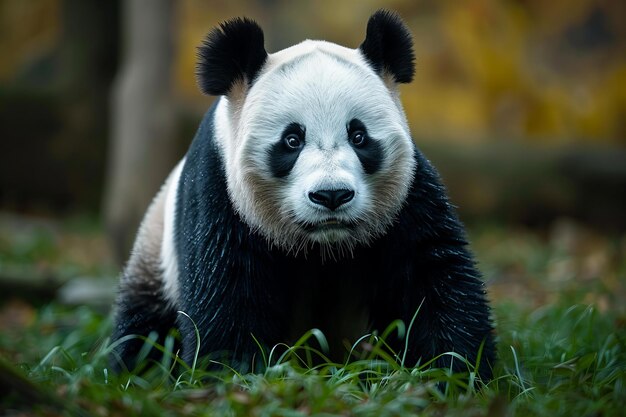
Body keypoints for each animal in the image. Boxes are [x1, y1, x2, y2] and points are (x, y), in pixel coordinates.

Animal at [109, 10, 494, 380]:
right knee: (143, 328)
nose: (332, 195)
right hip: (155, 255)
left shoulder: (406, 197)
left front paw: (454, 374)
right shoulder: (221, 196)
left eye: (359, 136)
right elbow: (228, 296)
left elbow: (432, 281)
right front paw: (233, 377)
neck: (322, 246)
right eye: (292, 140)